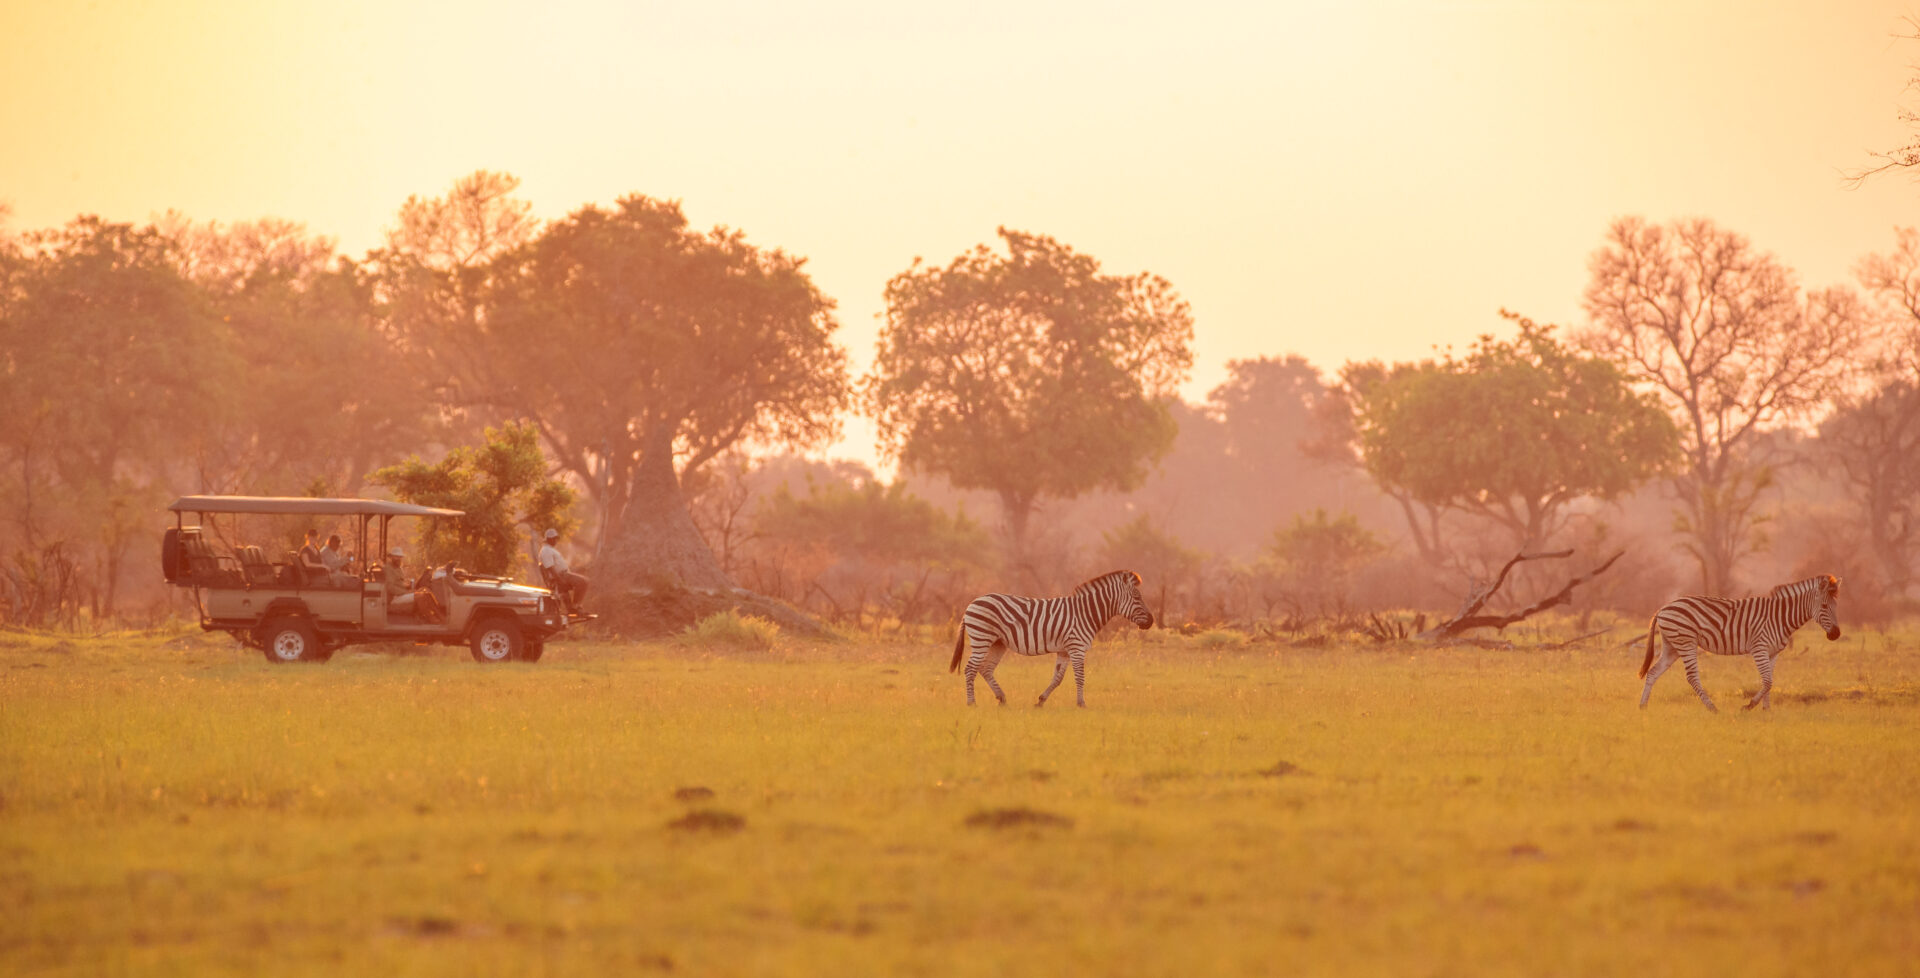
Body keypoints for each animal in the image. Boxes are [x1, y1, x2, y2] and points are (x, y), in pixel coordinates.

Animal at [948, 570, 1155, 708]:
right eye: (1137, 597)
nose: (1151, 621)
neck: (1085, 613)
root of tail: (971, 604)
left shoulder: (1064, 650)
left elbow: (1058, 678)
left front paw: (1041, 701)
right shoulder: (1077, 647)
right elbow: (1080, 677)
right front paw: (1082, 704)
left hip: (998, 643)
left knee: (985, 669)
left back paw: (1002, 698)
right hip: (981, 639)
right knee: (970, 669)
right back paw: (972, 703)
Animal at [1638, 574, 1842, 712]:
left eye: (1836, 606)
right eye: (1824, 606)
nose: (1836, 634)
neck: (1780, 617)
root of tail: (1663, 608)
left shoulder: (1773, 653)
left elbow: (1770, 681)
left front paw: (1767, 710)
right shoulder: (1759, 648)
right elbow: (1767, 681)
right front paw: (1749, 706)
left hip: (1672, 646)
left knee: (1653, 672)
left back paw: (1643, 706)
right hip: (1686, 641)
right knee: (1692, 677)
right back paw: (1713, 708)